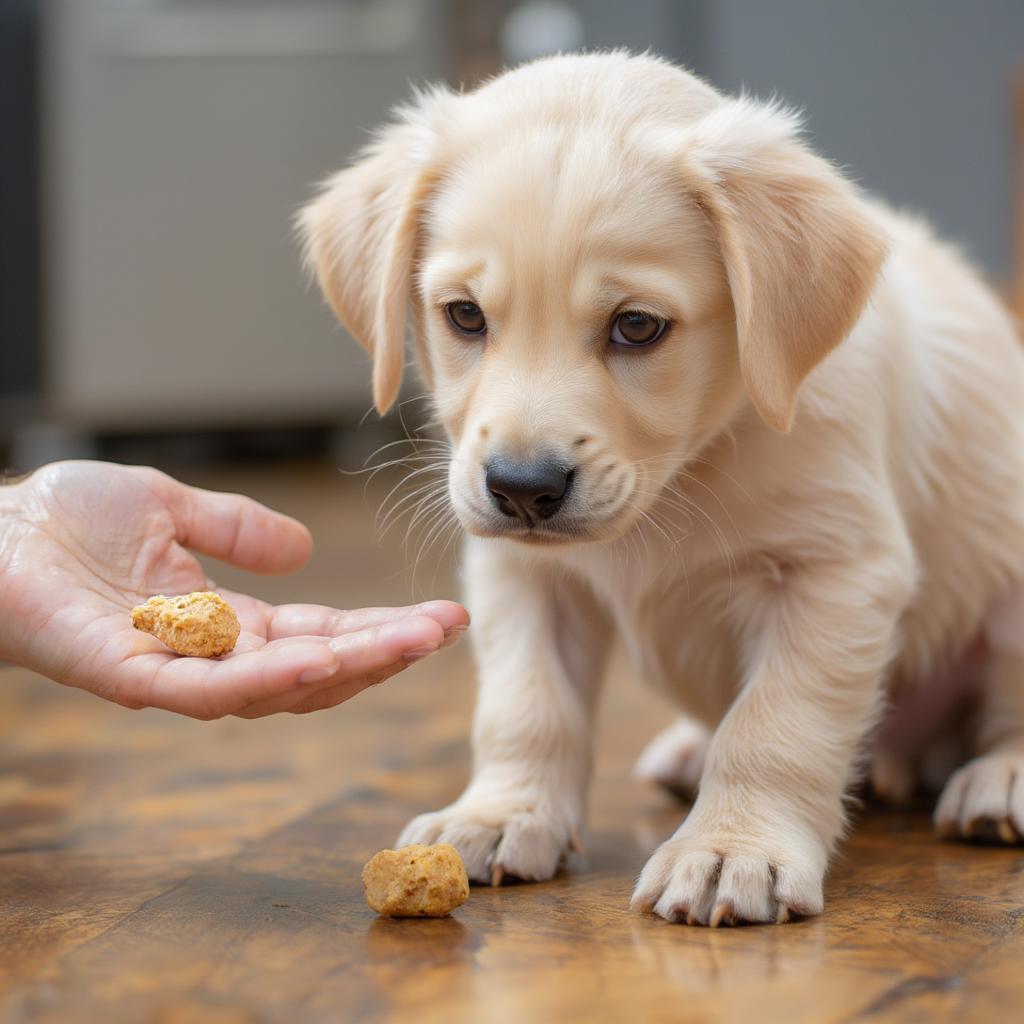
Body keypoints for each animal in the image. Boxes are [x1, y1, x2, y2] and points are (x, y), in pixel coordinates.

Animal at [301, 51, 1024, 925]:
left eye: (637, 327)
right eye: (464, 316)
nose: (523, 489)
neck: (689, 470)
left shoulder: (838, 571)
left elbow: (774, 725)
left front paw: (730, 849)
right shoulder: (522, 574)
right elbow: (526, 707)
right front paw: (501, 813)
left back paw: (1004, 778)